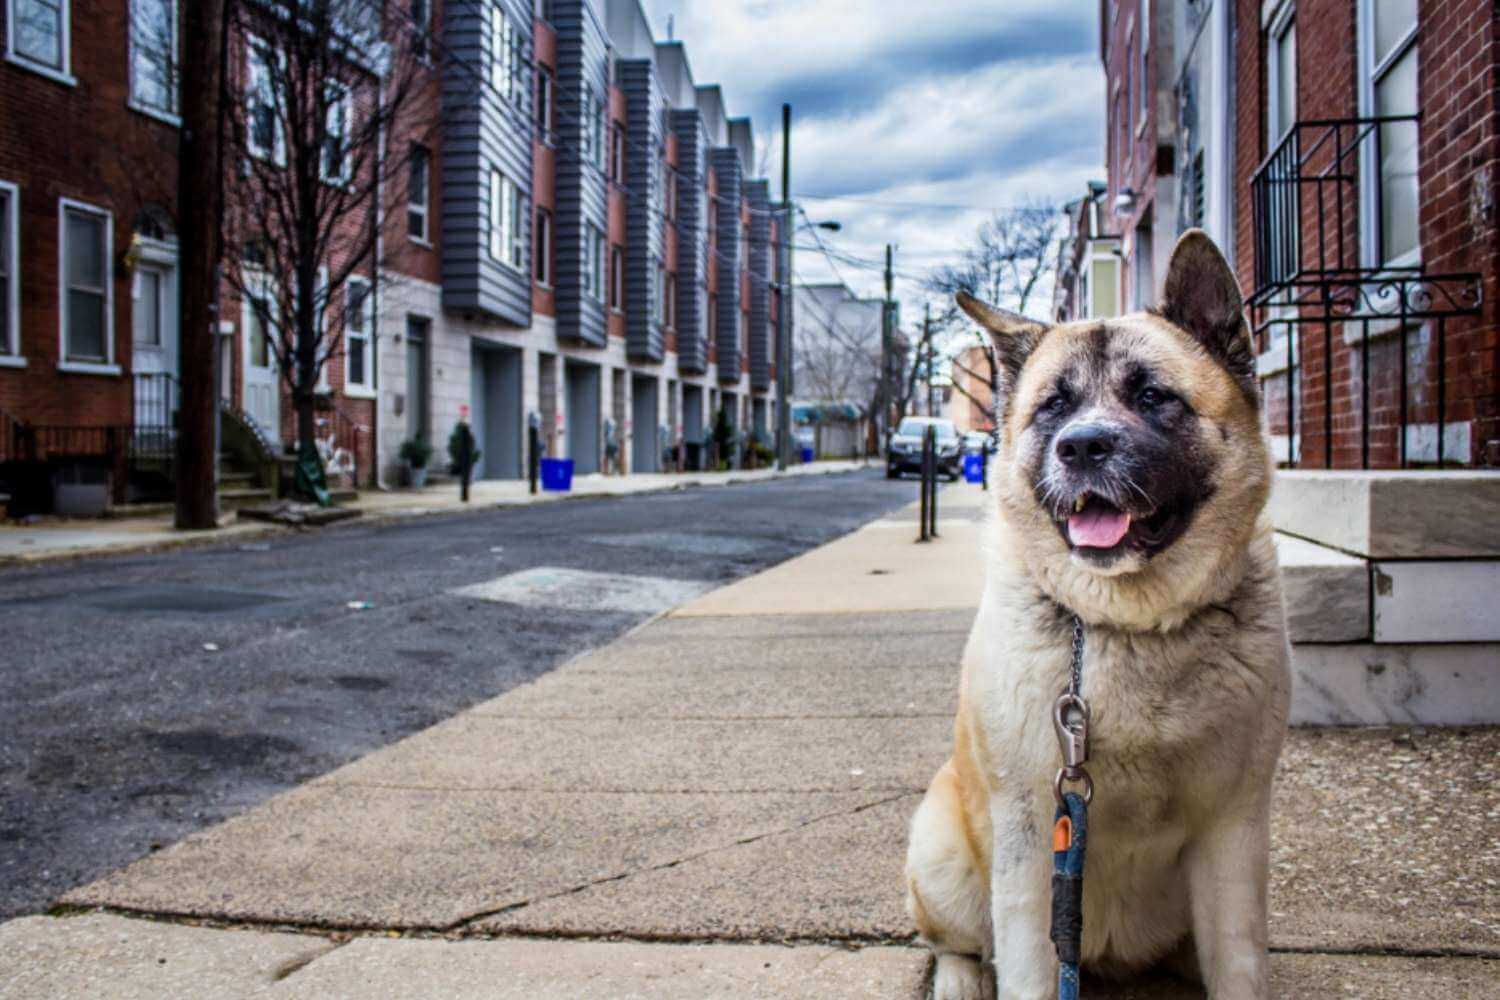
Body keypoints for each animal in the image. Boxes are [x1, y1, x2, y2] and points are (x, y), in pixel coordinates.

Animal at [906, 230, 1296, 995]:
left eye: (1152, 395)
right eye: (1052, 407)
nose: (1083, 445)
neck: (1128, 622)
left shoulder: (1233, 833)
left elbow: (1240, 962)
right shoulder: (1031, 835)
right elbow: (1027, 966)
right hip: (940, 851)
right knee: (959, 944)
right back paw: (960, 979)